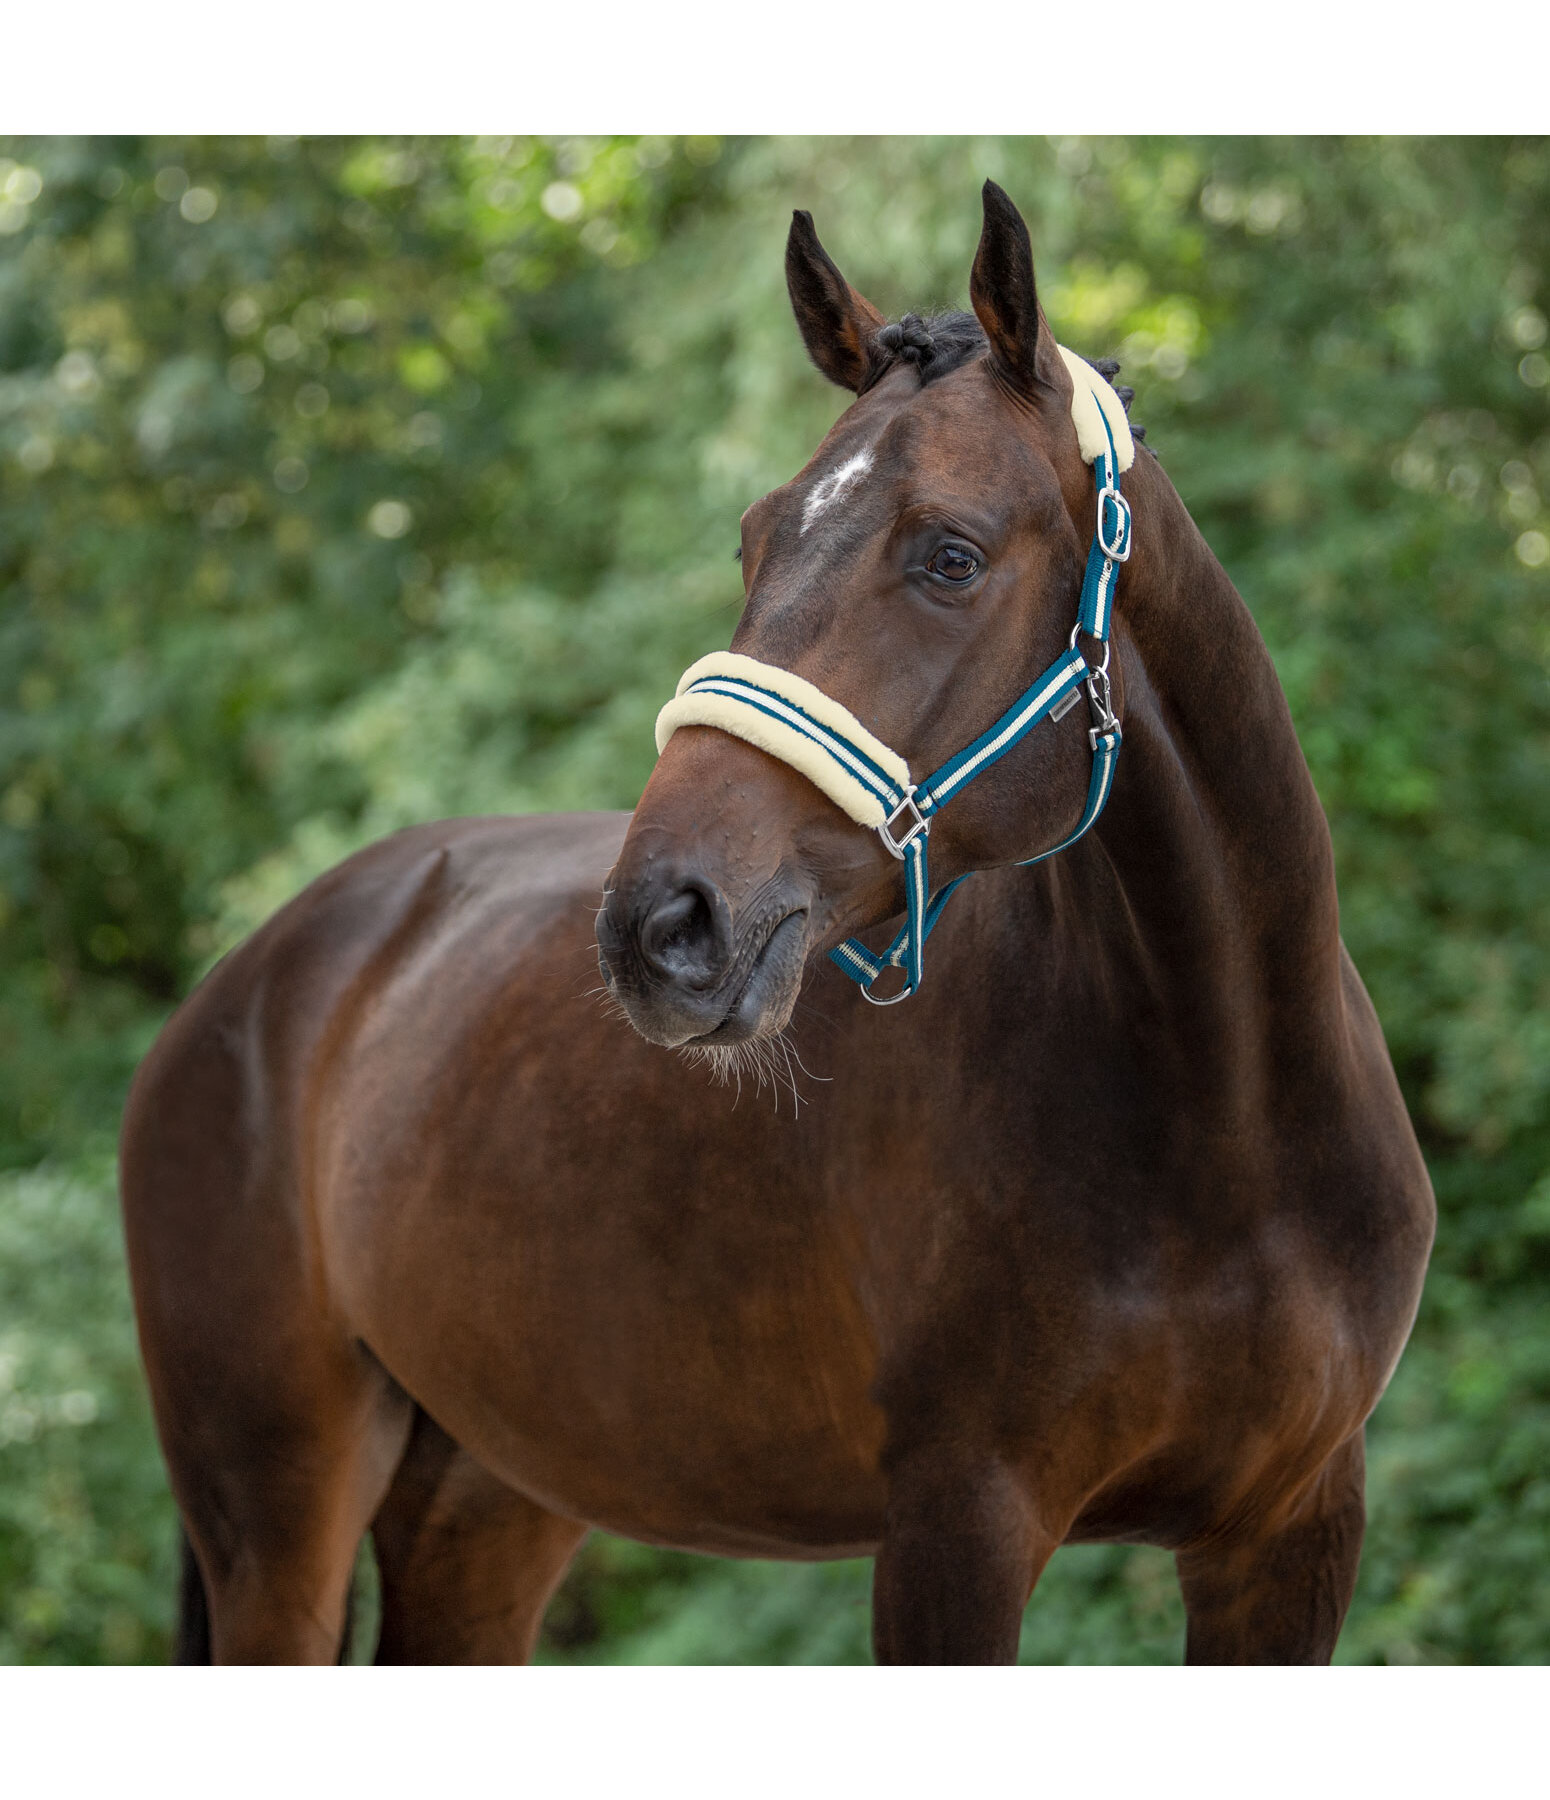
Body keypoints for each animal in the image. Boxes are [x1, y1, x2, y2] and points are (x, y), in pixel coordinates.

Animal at [124, 182, 1440, 1656]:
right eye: (754, 542)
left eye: (949, 555)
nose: (659, 925)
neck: (1225, 1116)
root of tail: (248, 984)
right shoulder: (955, 1531)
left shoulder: (1287, 1536)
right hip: (277, 1518)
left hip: (486, 1499)